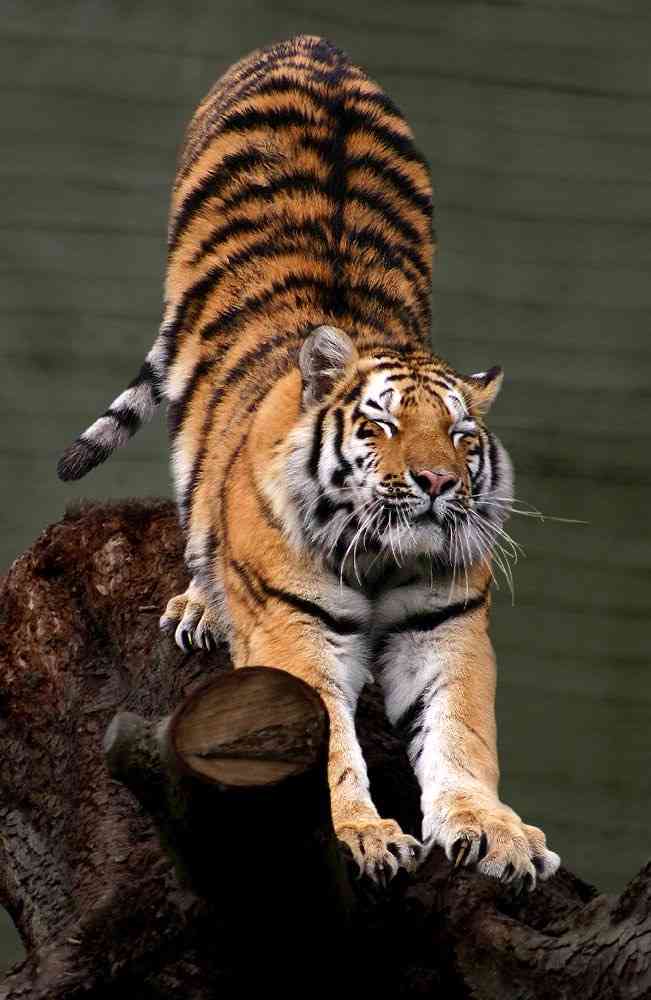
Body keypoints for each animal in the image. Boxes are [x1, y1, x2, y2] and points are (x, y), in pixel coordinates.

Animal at [58, 34, 560, 888]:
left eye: (460, 436)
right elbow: (323, 740)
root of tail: (311, 44)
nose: (437, 483)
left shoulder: (445, 626)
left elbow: (462, 734)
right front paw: (360, 834)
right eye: (382, 424)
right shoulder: (293, 631)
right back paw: (200, 604)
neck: (386, 557)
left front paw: (494, 832)